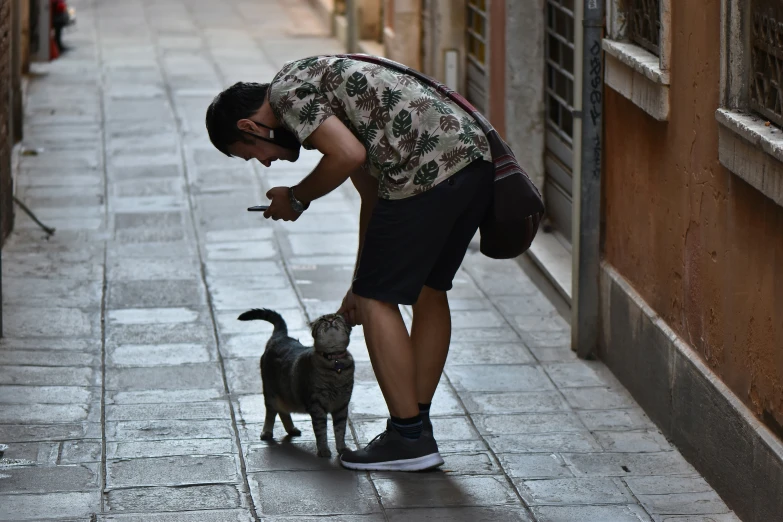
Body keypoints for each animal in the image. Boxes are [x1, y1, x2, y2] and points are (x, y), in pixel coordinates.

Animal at [236, 306, 352, 458]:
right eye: (322, 320)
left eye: (337, 317)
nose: (330, 319)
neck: (335, 363)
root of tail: (281, 336)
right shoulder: (317, 407)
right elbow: (321, 432)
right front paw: (324, 450)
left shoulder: (341, 406)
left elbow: (340, 431)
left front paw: (342, 449)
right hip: (270, 392)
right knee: (271, 412)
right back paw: (267, 431)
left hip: (286, 395)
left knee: (283, 411)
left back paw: (291, 429)